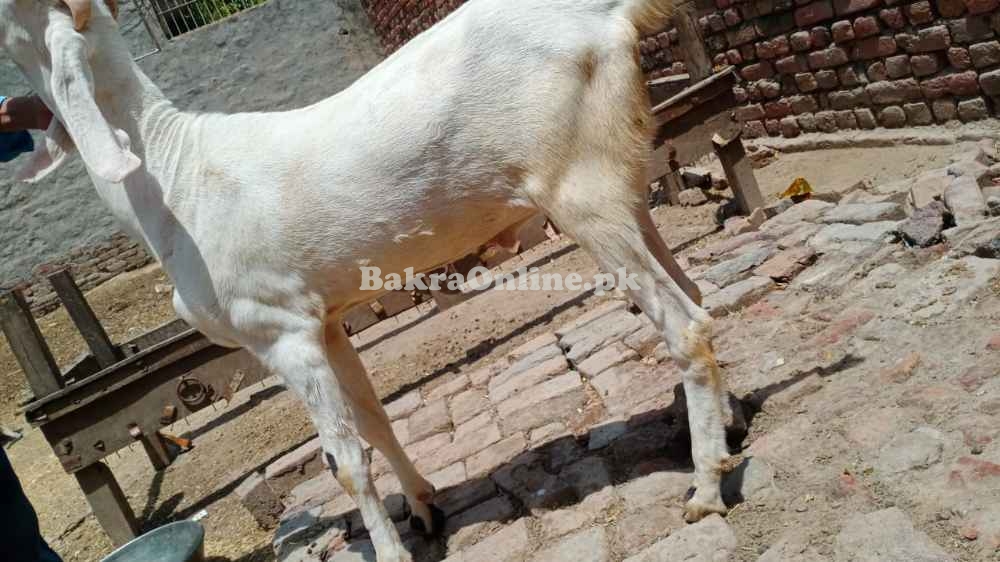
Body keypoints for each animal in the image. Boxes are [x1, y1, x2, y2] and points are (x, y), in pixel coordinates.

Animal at [0, 2, 736, 556]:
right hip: (621, 178)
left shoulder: (278, 328)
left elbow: (344, 461)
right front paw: (424, 508)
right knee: (695, 291)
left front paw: (389, 548)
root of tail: (607, 17)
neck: (171, 171)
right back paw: (720, 424)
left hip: (578, 187)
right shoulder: (323, 320)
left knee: (686, 323)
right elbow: (375, 420)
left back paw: (704, 488)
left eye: (12, 16)